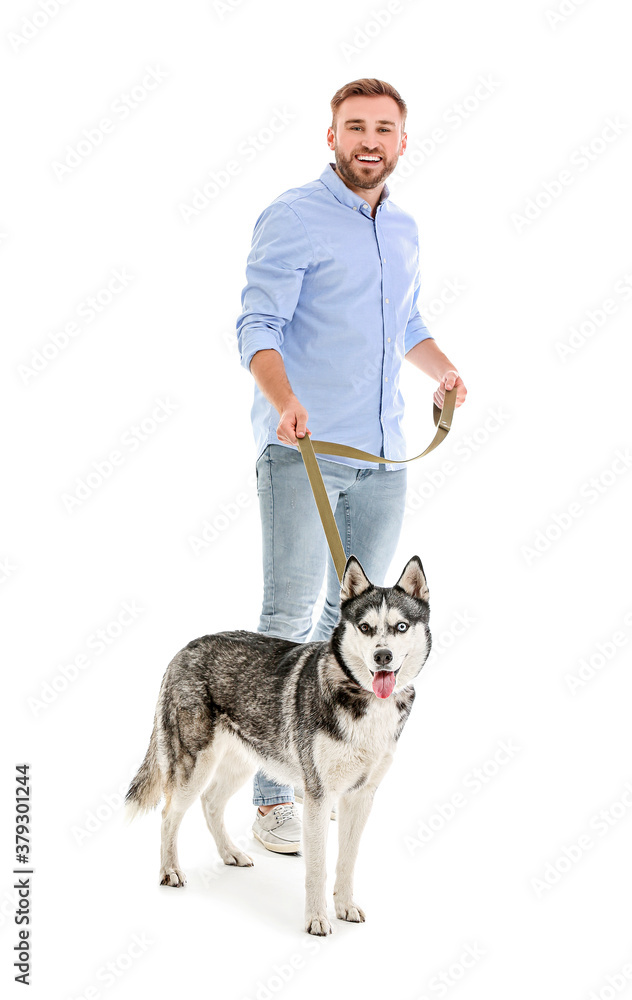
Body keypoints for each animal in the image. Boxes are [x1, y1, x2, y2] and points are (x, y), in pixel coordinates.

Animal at [124, 552, 430, 932]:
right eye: (365, 627)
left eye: (401, 627)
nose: (383, 656)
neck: (362, 700)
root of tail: (183, 650)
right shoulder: (318, 797)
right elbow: (318, 867)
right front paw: (316, 918)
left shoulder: (360, 797)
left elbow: (347, 862)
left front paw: (344, 906)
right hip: (194, 767)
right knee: (169, 814)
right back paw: (170, 870)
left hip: (242, 762)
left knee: (211, 803)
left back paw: (230, 853)